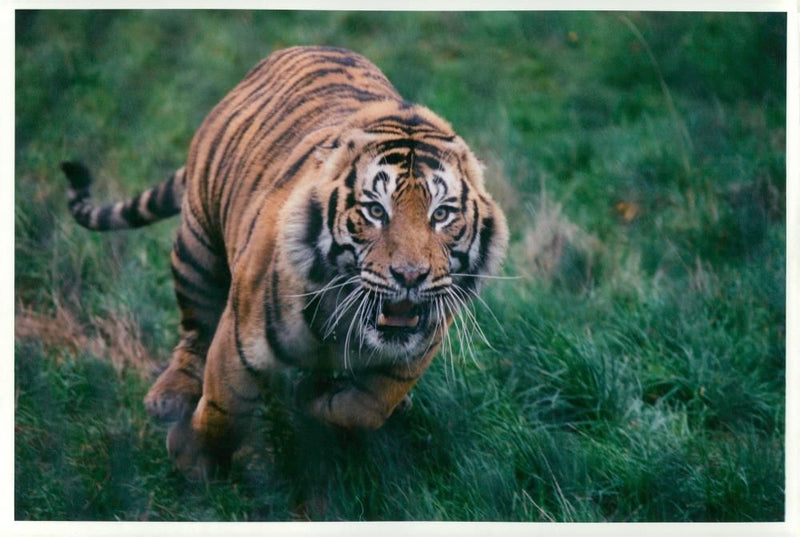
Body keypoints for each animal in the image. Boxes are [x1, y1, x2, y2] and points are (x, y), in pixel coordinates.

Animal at [65, 46, 510, 478]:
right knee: (193, 330)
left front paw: (313, 399)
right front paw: (191, 457)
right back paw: (169, 396)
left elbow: (364, 407)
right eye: (375, 211)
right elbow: (222, 409)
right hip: (196, 248)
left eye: (442, 214)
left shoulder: (414, 353)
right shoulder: (239, 340)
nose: (411, 276)